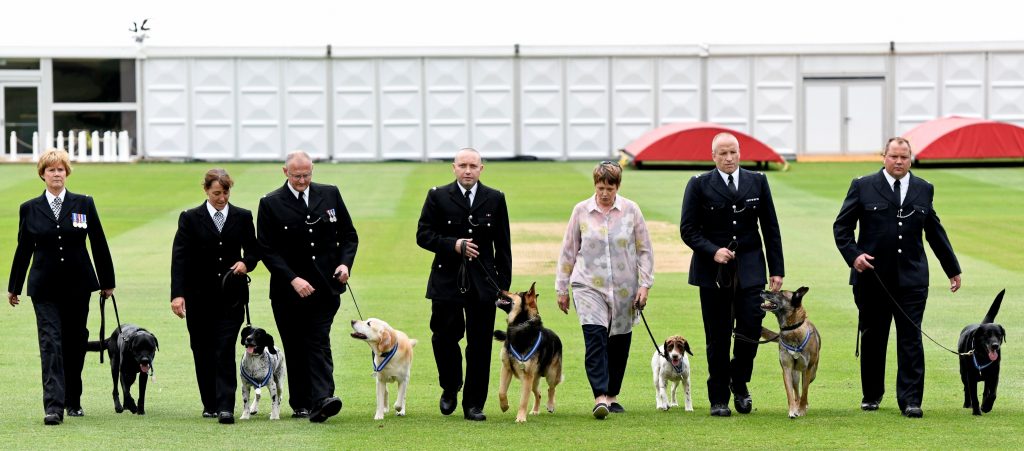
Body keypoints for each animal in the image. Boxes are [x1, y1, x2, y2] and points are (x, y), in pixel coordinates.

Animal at [491, 282, 565, 422]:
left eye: (515, 293)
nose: (499, 290)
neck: (520, 325)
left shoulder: (527, 375)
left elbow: (523, 400)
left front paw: (520, 418)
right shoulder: (506, 368)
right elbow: (501, 391)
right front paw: (504, 406)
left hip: (550, 373)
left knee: (551, 388)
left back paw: (550, 405)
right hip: (534, 379)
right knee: (539, 393)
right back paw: (535, 410)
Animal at [761, 287, 823, 418]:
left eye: (780, 293)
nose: (762, 291)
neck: (792, 329)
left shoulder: (808, 369)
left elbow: (805, 391)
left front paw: (802, 410)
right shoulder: (787, 369)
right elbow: (790, 393)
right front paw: (792, 411)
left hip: (812, 373)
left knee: (804, 388)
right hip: (795, 375)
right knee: (797, 392)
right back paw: (797, 405)